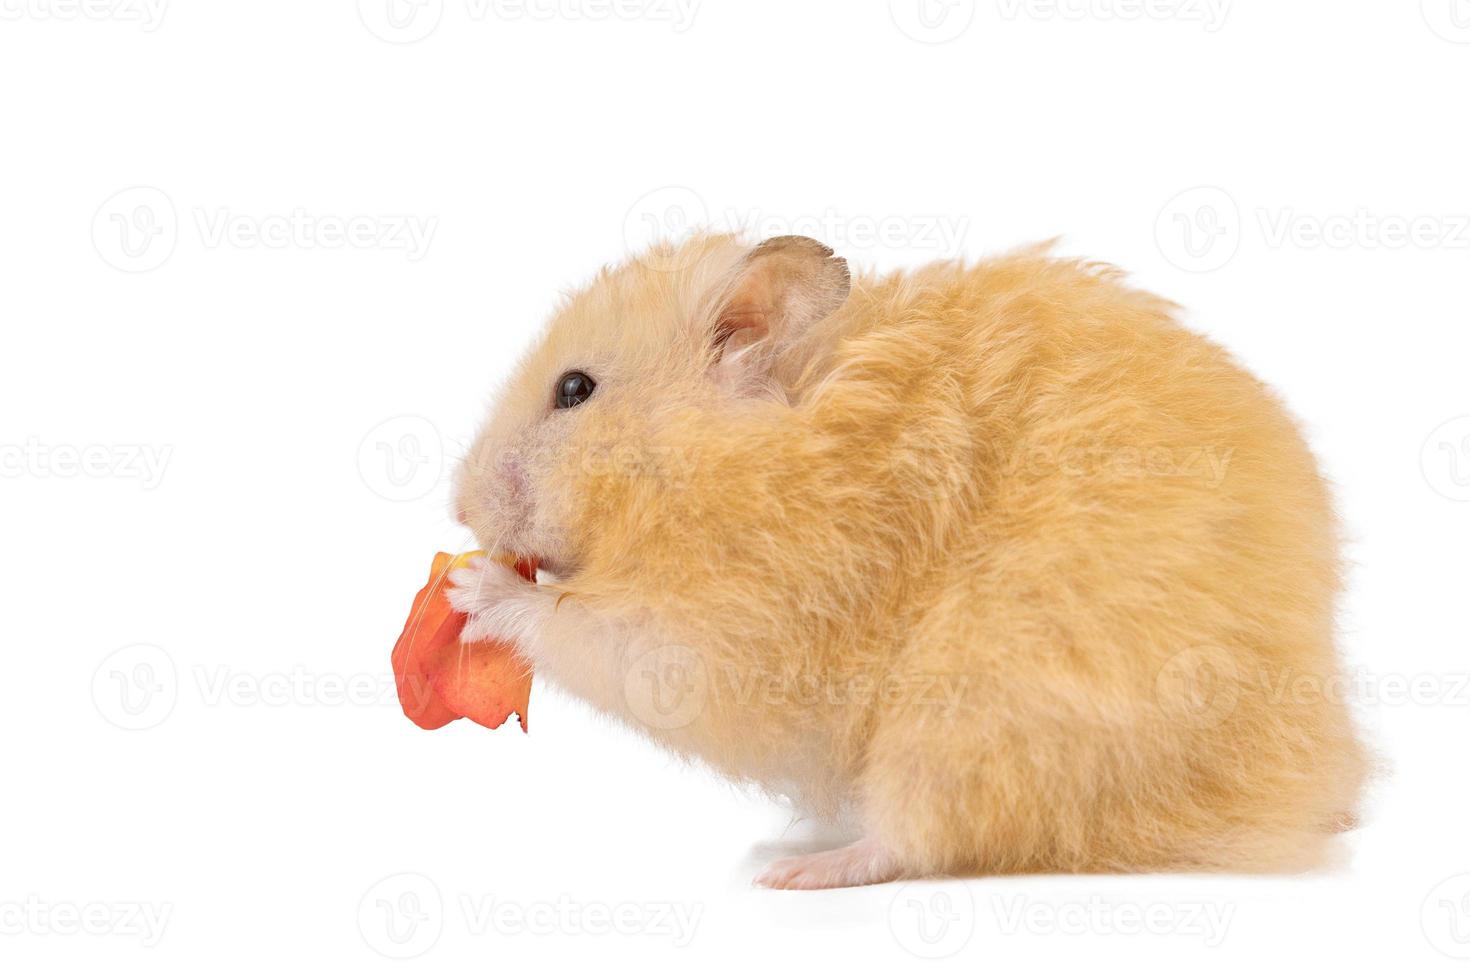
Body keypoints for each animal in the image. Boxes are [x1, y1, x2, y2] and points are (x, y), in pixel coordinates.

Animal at [446, 235, 1364, 887]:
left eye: (575, 390)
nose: (459, 508)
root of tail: (1297, 774)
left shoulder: (741, 618)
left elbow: (597, 634)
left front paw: (468, 584)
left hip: (975, 707)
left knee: (921, 837)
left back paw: (798, 870)